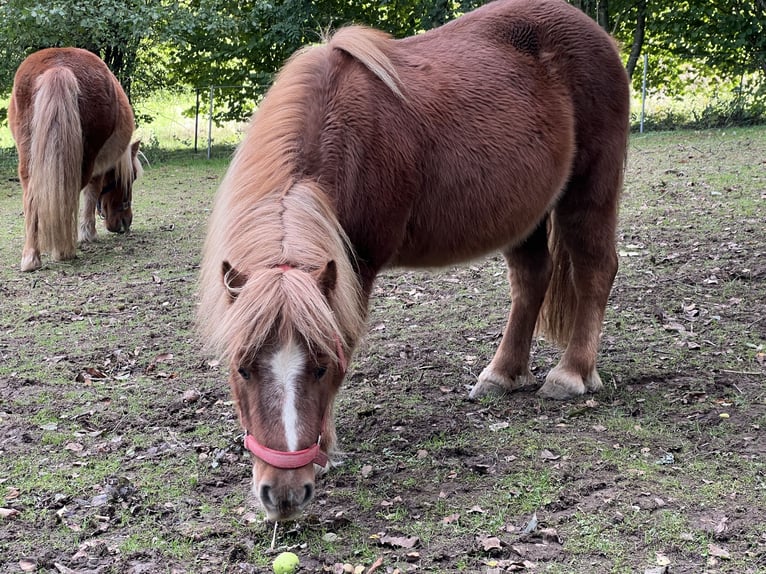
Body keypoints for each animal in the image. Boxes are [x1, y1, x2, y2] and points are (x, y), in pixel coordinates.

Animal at [8, 47, 142, 272]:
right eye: (131, 178)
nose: (126, 222)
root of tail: (58, 67)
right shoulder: (98, 169)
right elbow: (91, 195)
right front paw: (88, 234)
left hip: (27, 158)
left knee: (33, 198)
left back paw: (31, 257)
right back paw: (62, 251)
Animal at [196, 0, 632, 524]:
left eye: (320, 368)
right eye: (241, 368)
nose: (283, 494)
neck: (344, 132)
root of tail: (596, 35)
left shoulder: (357, 269)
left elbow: (345, 340)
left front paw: (327, 448)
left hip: (589, 193)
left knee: (595, 270)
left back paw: (571, 375)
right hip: (525, 213)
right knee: (532, 279)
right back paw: (502, 374)